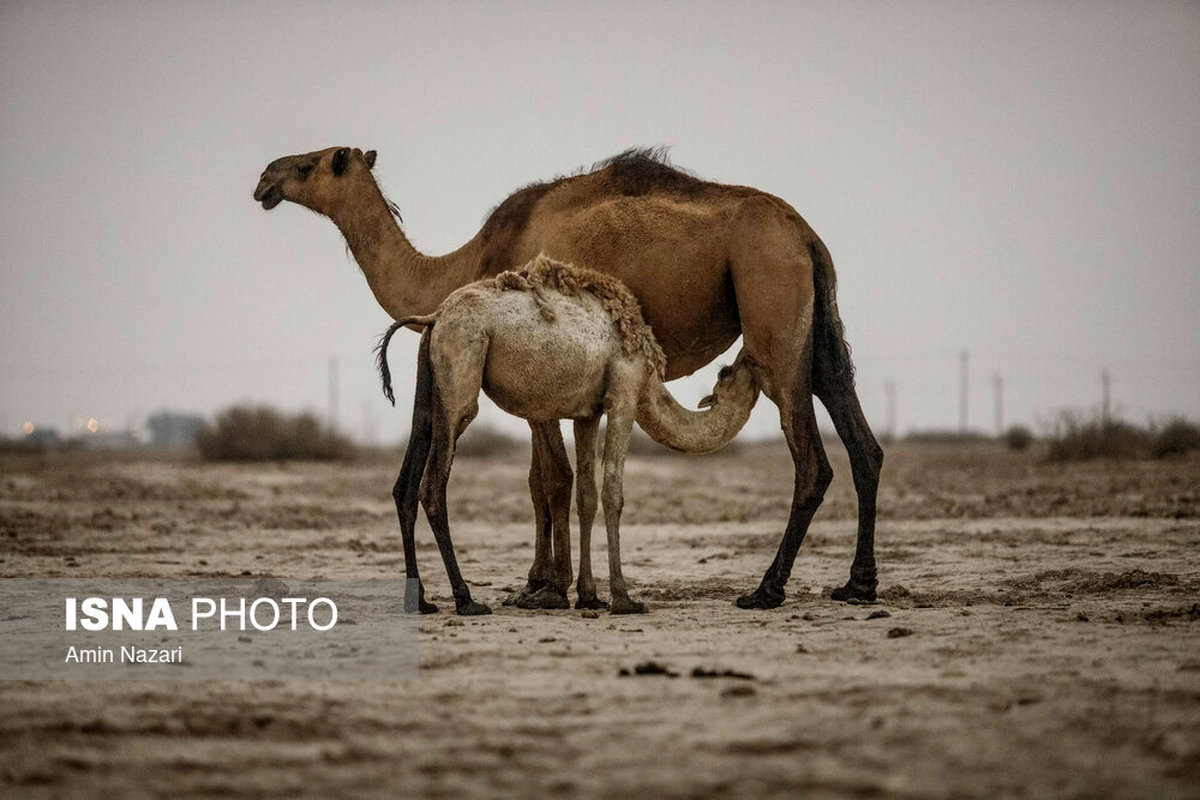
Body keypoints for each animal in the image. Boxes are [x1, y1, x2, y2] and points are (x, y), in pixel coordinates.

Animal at [376, 253, 758, 618]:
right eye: (730, 371)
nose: (754, 358)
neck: (649, 376)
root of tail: (435, 317)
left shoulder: (588, 412)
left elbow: (586, 495)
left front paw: (589, 596)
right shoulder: (624, 393)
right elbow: (613, 492)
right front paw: (623, 598)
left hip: (430, 380)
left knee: (406, 481)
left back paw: (420, 601)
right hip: (462, 361)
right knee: (433, 485)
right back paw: (466, 600)